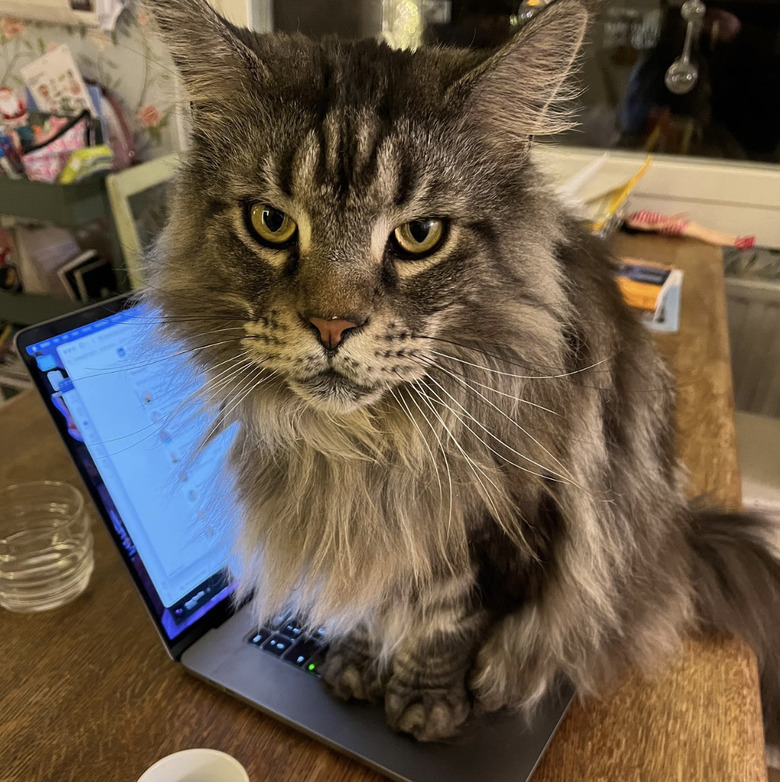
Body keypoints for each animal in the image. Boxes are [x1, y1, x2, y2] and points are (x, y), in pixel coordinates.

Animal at [143, 0, 776, 748]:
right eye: (271, 222)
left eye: (420, 236)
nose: (332, 326)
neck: (365, 449)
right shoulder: (373, 528)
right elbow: (373, 601)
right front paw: (358, 660)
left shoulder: (493, 530)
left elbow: (447, 623)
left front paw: (427, 702)